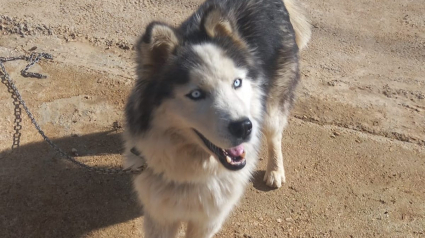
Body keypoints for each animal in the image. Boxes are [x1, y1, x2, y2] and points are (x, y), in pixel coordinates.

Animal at [121, 0, 310, 236]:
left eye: (236, 83)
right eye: (196, 94)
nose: (244, 127)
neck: (191, 172)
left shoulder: (209, 219)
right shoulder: (160, 216)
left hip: (272, 107)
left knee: (274, 135)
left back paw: (275, 170)